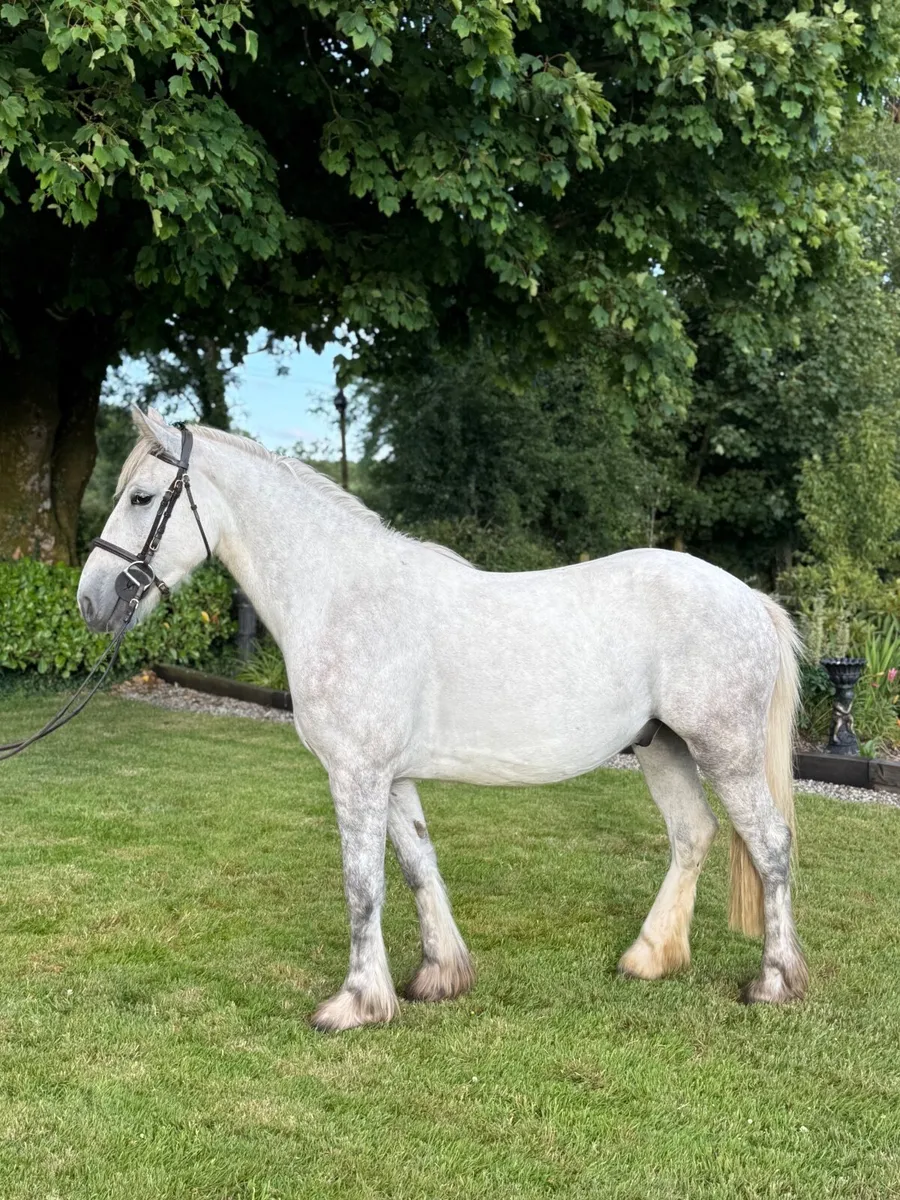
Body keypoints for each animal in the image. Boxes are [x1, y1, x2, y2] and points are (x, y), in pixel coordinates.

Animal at [77, 407, 807, 1031]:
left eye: (141, 497)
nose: (91, 601)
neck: (342, 596)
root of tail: (748, 597)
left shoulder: (356, 776)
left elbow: (363, 884)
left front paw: (354, 1003)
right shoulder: (391, 778)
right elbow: (416, 866)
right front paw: (437, 976)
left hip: (725, 752)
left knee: (770, 845)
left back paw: (774, 983)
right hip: (662, 747)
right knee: (692, 834)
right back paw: (649, 958)